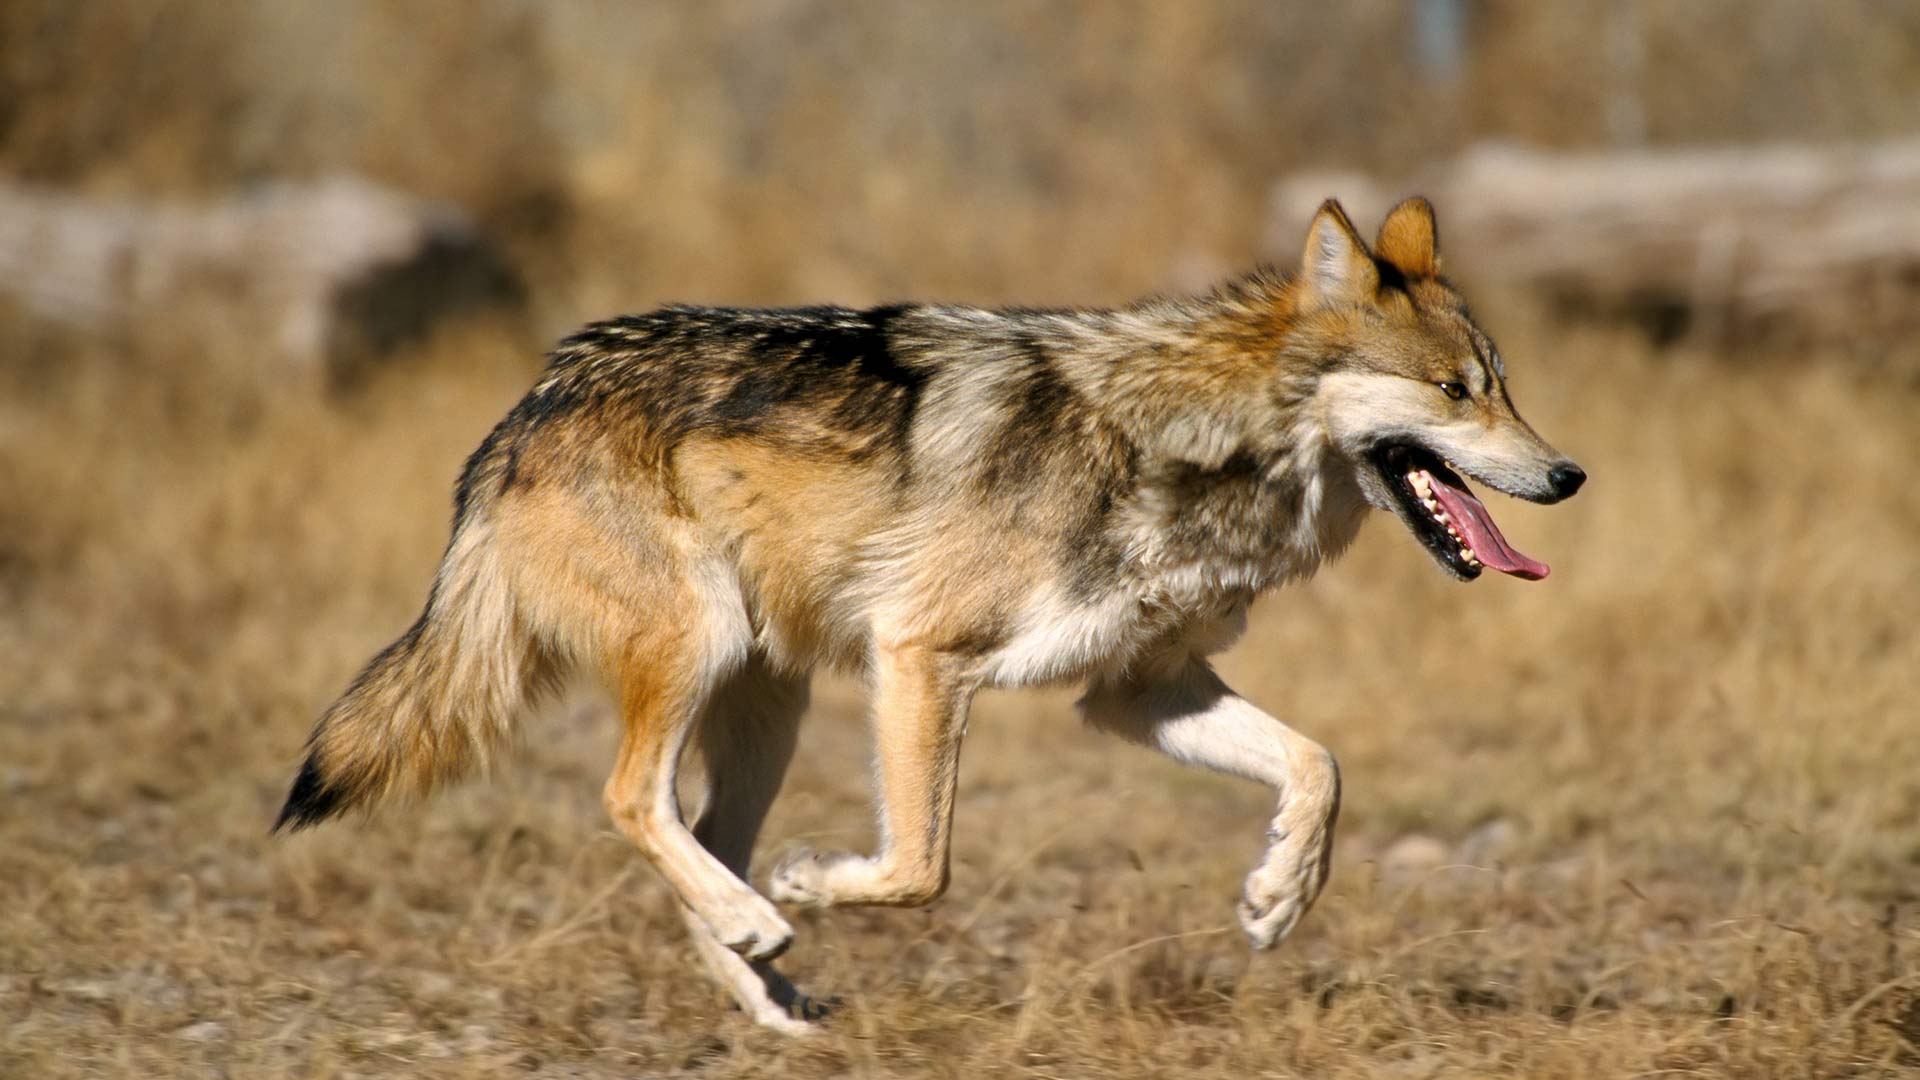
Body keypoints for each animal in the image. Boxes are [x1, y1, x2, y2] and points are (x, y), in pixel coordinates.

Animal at [274, 197, 1589, 1030]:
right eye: (1454, 392)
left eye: (1505, 387)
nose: (1571, 474)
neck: (1191, 442)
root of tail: (529, 404)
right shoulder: (921, 657)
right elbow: (920, 868)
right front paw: (817, 884)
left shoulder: (1138, 692)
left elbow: (1319, 766)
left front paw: (1278, 897)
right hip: (705, 654)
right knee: (632, 802)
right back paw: (767, 919)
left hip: (770, 706)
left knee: (697, 836)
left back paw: (769, 990)